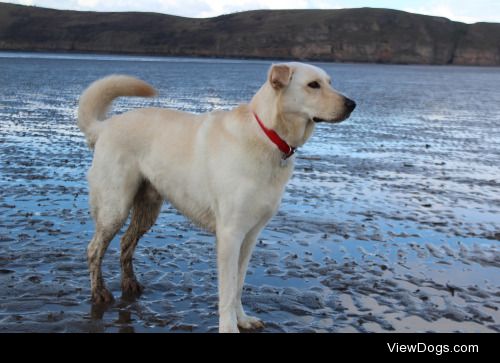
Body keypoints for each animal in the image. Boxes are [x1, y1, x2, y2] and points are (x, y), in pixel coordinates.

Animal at [78, 62, 356, 332]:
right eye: (313, 85)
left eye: (329, 82)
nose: (352, 104)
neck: (267, 136)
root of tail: (104, 126)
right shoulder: (230, 235)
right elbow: (228, 290)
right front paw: (229, 327)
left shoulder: (250, 235)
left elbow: (239, 285)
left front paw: (243, 320)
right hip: (115, 207)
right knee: (94, 249)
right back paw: (99, 292)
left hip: (148, 208)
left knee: (126, 243)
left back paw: (130, 283)